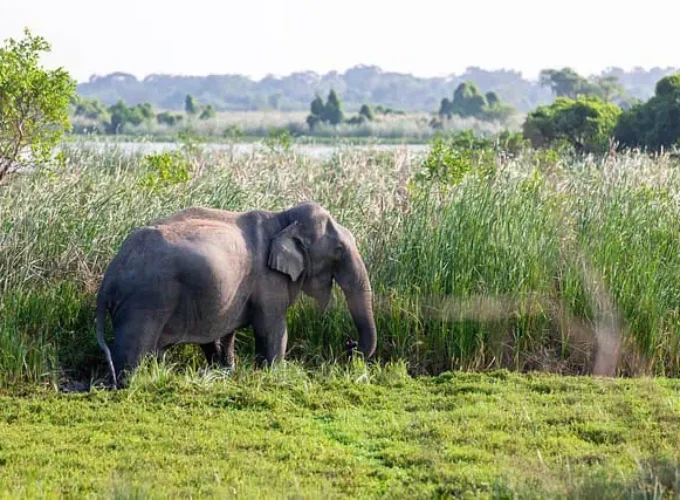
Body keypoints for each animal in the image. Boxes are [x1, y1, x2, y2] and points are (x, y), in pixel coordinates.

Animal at [94, 201, 378, 388]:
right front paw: (273, 374)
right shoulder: (268, 280)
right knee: (133, 348)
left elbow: (227, 329)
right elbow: (272, 328)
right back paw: (125, 385)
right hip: (146, 301)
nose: (350, 345)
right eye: (339, 249)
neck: (283, 219)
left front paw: (228, 371)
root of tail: (110, 275)